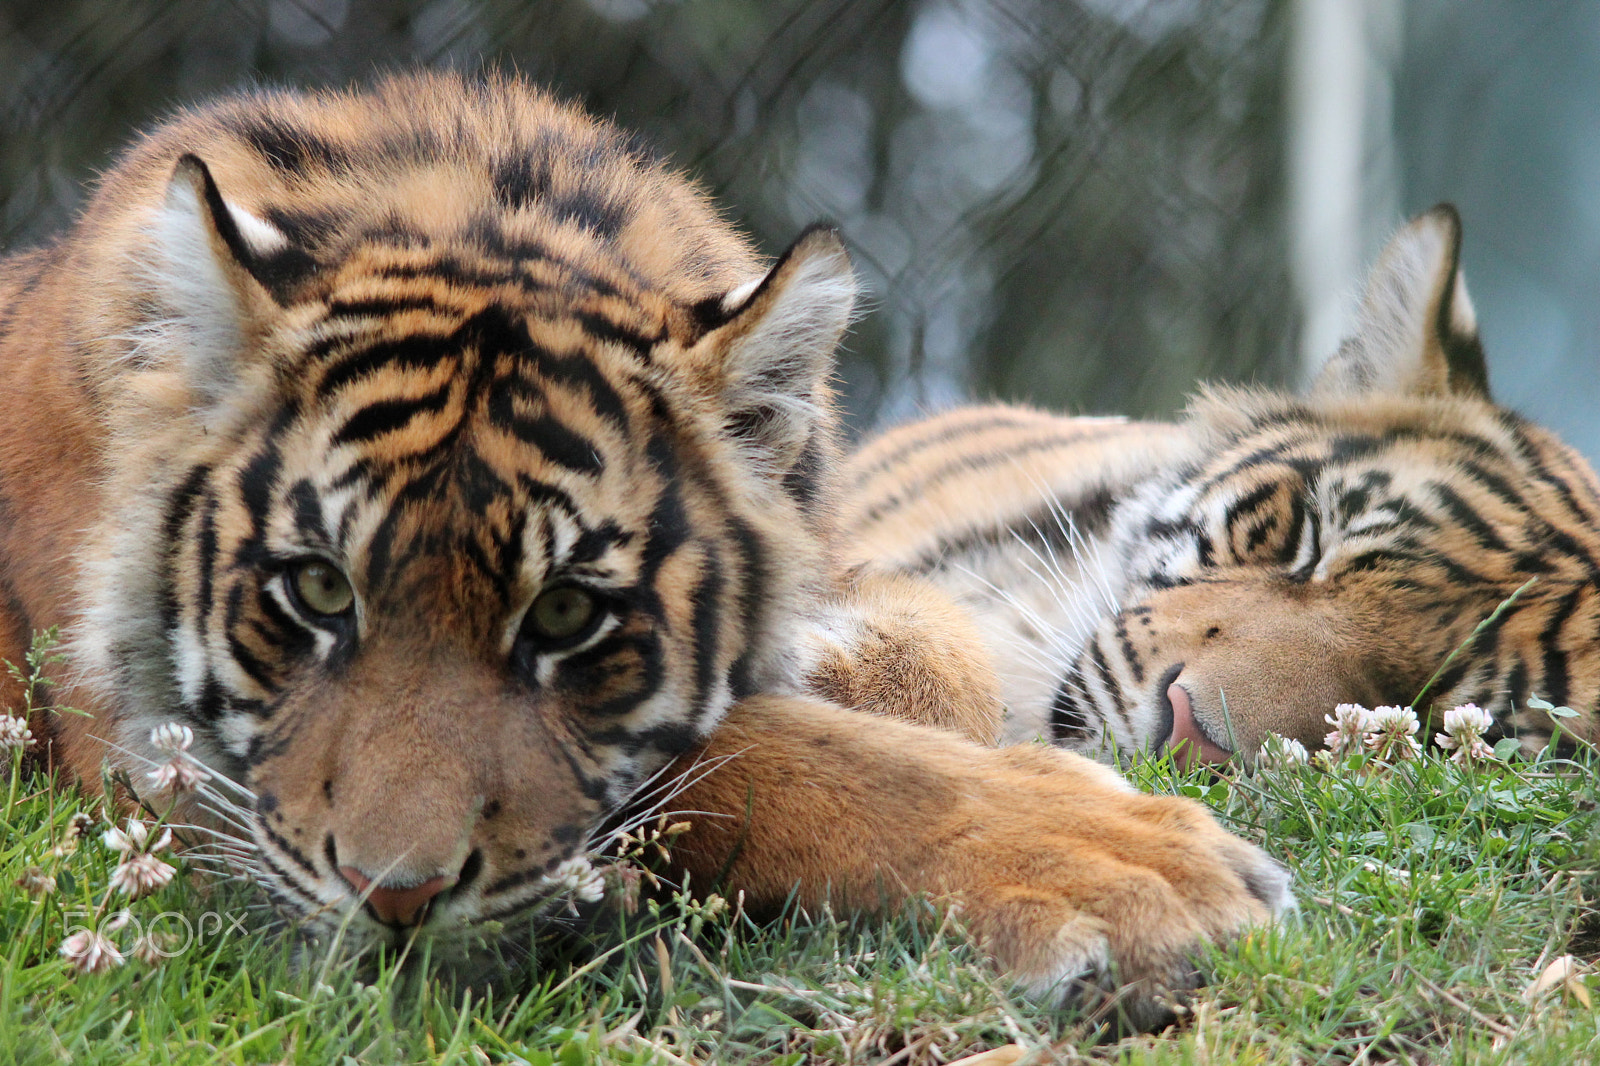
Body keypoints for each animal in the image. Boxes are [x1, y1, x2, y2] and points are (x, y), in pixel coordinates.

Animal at [0, 71, 1290, 1023]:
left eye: (569, 611)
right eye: (317, 589)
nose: (391, 898)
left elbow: (926, 654)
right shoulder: (174, 784)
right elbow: (740, 755)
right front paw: (1127, 865)